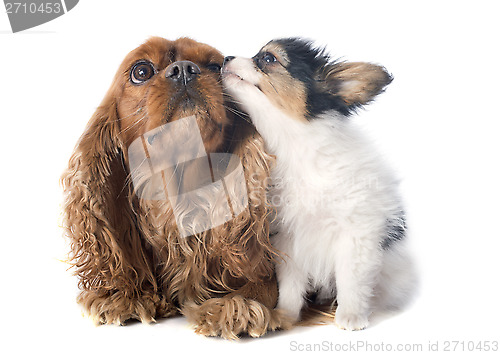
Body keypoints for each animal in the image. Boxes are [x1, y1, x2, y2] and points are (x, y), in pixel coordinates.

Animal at [61, 37, 290, 340]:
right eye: (141, 71)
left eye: (216, 67)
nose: (183, 69)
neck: (180, 200)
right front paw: (126, 294)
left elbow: (262, 284)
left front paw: (238, 303)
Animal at [222, 38, 414, 330]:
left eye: (268, 59)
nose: (225, 58)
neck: (293, 146)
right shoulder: (289, 238)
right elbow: (290, 284)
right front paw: (285, 315)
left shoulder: (356, 233)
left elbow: (351, 279)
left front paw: (351, 315)